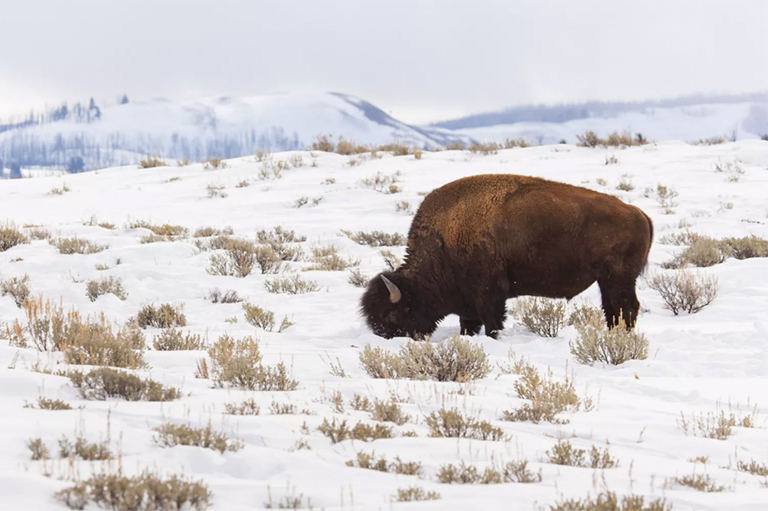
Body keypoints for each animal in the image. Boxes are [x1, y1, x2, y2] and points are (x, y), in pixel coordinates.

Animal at [364, 175, 652, 340]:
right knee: (613, 309)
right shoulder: (470, 303)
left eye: (392, 316)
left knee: (627, 307)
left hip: (619, 278)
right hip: (606, 280)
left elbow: (492, 323)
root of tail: (638, 213)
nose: (385, 339)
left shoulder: (489, 294)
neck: (444, 241)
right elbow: (469, 324)